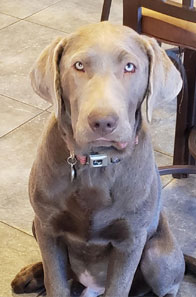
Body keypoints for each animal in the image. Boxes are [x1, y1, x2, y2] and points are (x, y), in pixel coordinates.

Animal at [11, 22, 189, 296]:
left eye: (130, 67)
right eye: (79, 66)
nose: (103, 122)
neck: (96, 163)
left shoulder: (130, 241)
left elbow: (118, 287)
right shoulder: (48, 227)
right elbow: (56, 282)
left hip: (158, 256)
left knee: (167, 286)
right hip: (35, 223)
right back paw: (30, 275)